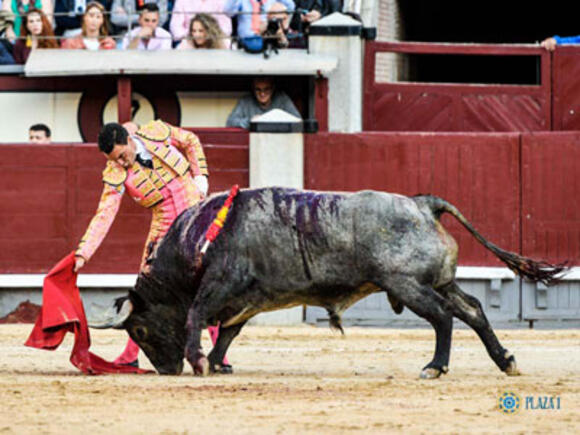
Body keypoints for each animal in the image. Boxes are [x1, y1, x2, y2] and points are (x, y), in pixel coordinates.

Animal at [90, 187, 568, 378]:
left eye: (141, 329)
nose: (166, 370)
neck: (199, 241)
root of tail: (422, 203)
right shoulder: (248, 298)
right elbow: (228, 331)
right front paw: (220, 362)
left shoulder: (219, 286)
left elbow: (195, 318)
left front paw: (200, 362)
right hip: (441, 281)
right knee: (472, 310)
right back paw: (506, 360)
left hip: (407, 285)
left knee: (443, 318)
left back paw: (434, 366)